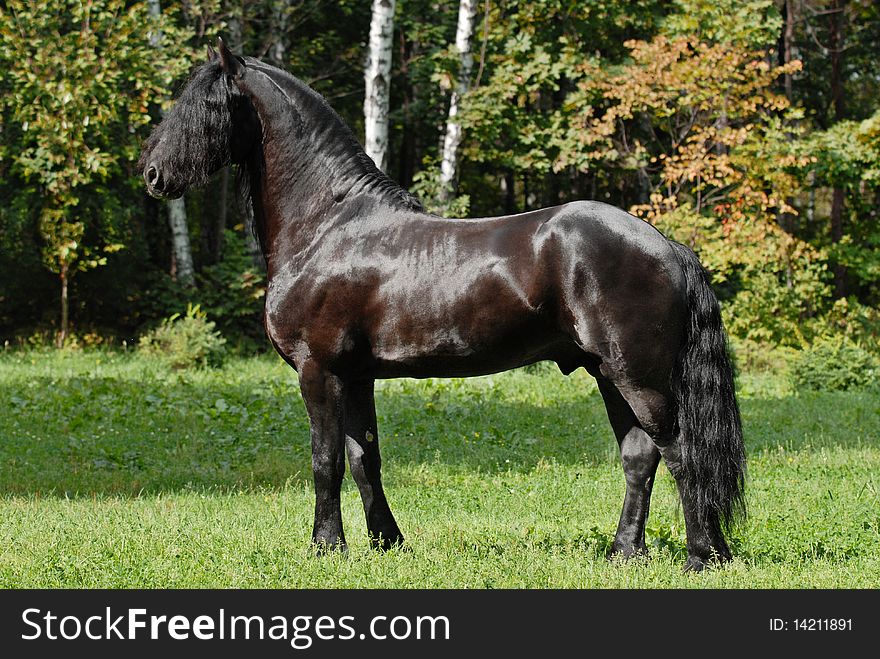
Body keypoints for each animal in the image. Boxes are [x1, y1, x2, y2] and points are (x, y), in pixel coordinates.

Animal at [141, 40, 744, 572]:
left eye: (205, 104)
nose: (152, 173)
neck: (327, 226)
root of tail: (665, 243)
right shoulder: (356, 376)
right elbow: (364, 459)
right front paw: (386, 543)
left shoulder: (320, 370)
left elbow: (325, 459)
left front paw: (326, 547)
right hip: (610, 374)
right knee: (640, 456)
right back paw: (626, 553)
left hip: (639, 377)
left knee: (682, 454)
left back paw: (700, 557)